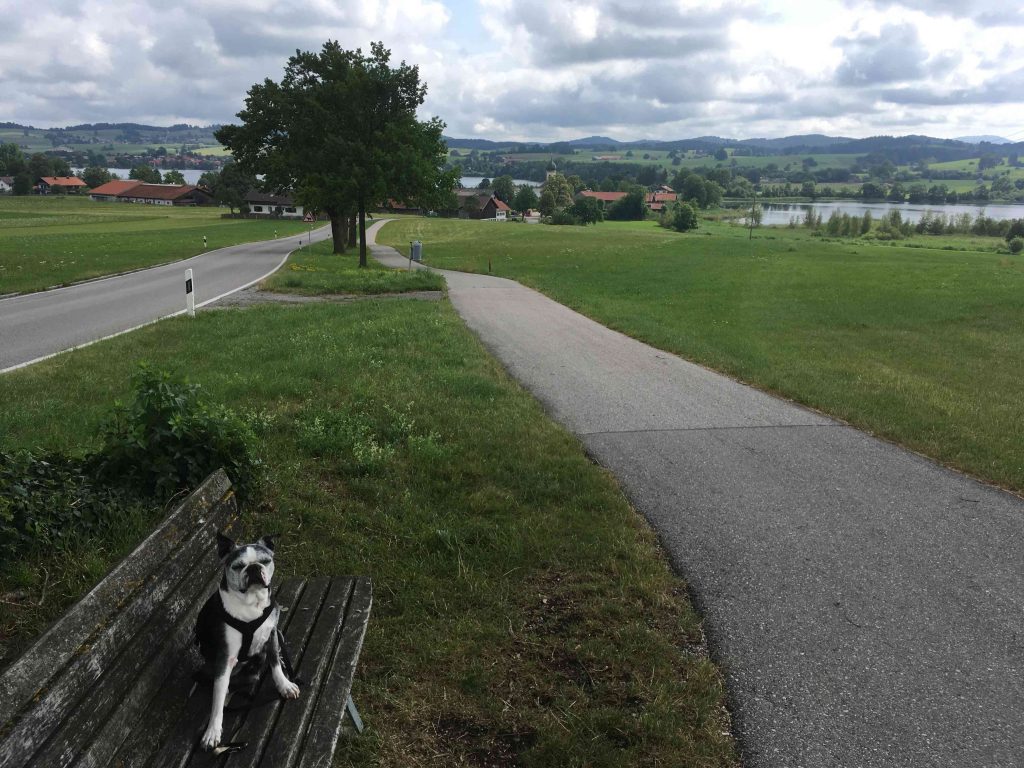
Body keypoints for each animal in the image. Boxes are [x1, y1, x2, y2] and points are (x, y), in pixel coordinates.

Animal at [194, 531, 300, 751]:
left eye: (265, 561)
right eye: (237, 566)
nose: (253, 568)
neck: (252, 603)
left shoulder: (272, 634)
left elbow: (275, 664)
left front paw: (284, 685)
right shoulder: (225, 657)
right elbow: (218, 695)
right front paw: (213, 730)